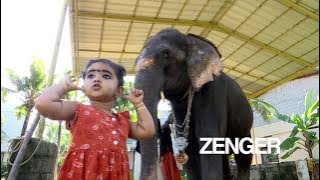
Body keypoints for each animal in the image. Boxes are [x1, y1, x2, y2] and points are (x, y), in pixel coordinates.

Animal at [134, 28, 254, 180]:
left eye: (166, 54)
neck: (191, 40)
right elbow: (190, 145)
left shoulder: (213, 91)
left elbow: (207, 137)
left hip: (245, 125)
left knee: (243, 154)